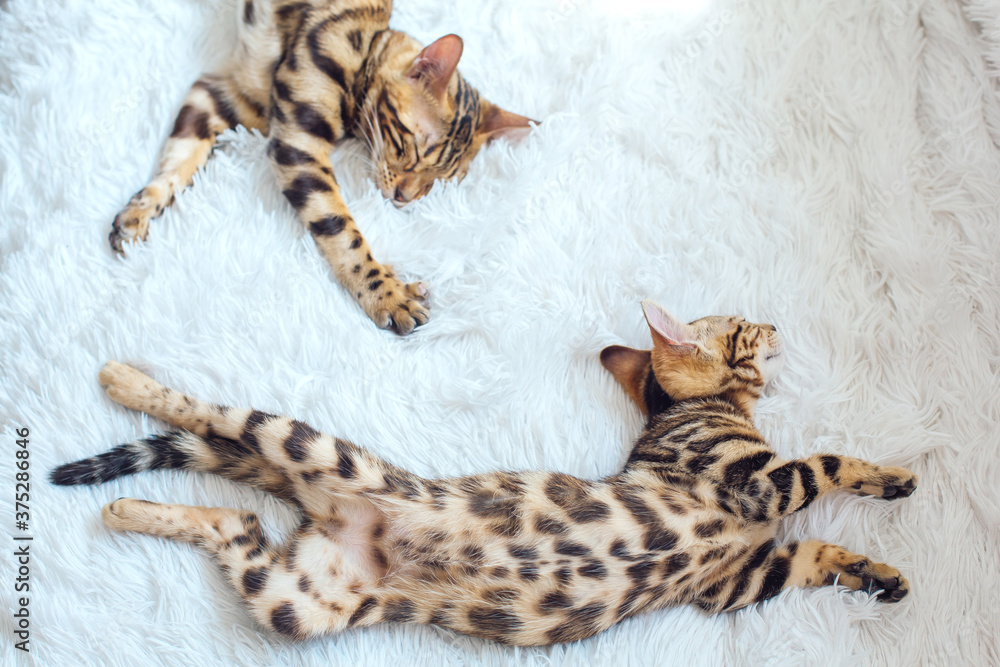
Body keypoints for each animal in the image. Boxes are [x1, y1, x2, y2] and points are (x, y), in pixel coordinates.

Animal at [52, 302, 916, 648]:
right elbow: (829, 462)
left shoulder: (736, 579)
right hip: (310, 448)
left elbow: (818, 554)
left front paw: (882, 575)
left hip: (295, 600)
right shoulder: (757, 486)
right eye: (741, 326)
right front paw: (895, 476)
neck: (688, 411)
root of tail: (327, 511)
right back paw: (126, 380)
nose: (774, 324)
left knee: (232, 518)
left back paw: (125, 509)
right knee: (212, 415)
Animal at [108, 0, 532, 334]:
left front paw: (139, 212)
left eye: (440, 181)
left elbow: (177, 163)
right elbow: (343, 232)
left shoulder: (220, 97)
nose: (404, 198)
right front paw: (387, 296)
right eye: (411, 147)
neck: (365, 49)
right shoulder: (297, 143)